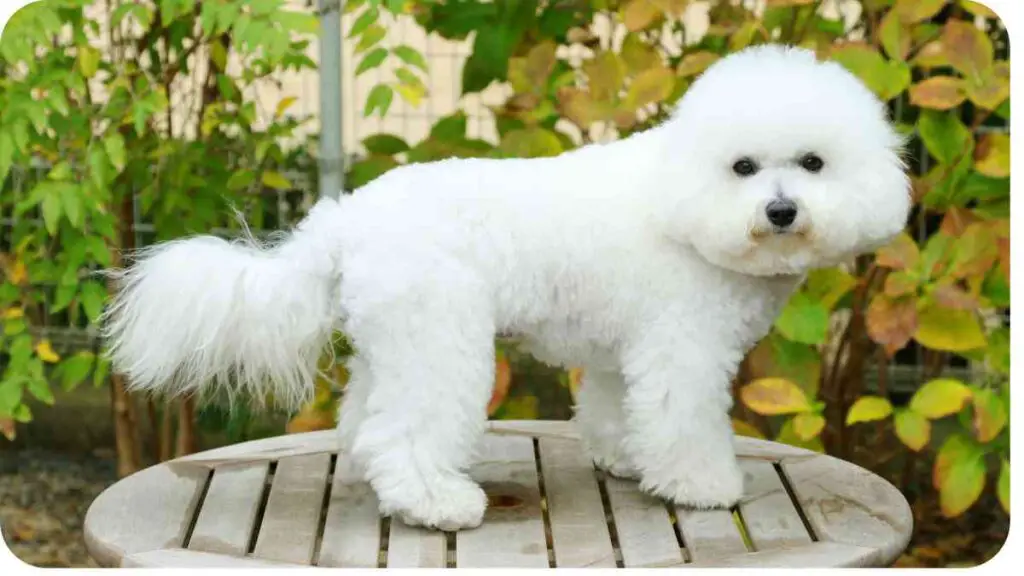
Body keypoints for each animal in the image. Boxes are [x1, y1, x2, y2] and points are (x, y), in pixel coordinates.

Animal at [103, 45, 909, 528]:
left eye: (813, 163)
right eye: (744, 167)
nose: (782, 212)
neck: (683, 197)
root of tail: (345, 219)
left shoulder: (625, 352)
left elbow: (618, 410)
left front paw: (625, 459)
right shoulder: (681, 348)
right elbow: (683, 424)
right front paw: (701, 486)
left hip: (396, 341)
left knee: (365, 422)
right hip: (443, 340)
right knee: (402, 435)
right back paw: (436, 501)